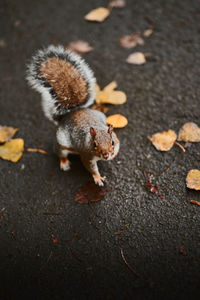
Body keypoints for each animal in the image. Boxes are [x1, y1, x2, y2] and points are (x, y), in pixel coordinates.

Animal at [26, 45, 120, 185]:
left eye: (112, 142)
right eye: (94, 144)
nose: (106, 155)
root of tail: (72, 112)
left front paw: (113, 155)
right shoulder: (87, 155)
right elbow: (91, 168)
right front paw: (98, 178)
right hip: (62, 142)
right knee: (59, 152)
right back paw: (64, 163)